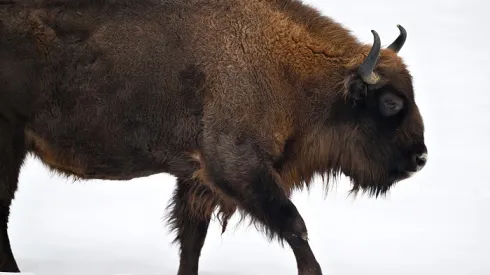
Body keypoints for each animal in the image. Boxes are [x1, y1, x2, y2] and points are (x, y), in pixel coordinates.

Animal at [0, 0, 426, 274]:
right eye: (390, 102)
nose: (420, 158)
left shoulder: (197, 180)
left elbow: (192, 241)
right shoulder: (237, 168)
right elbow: (294, 226)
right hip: (9, 142)